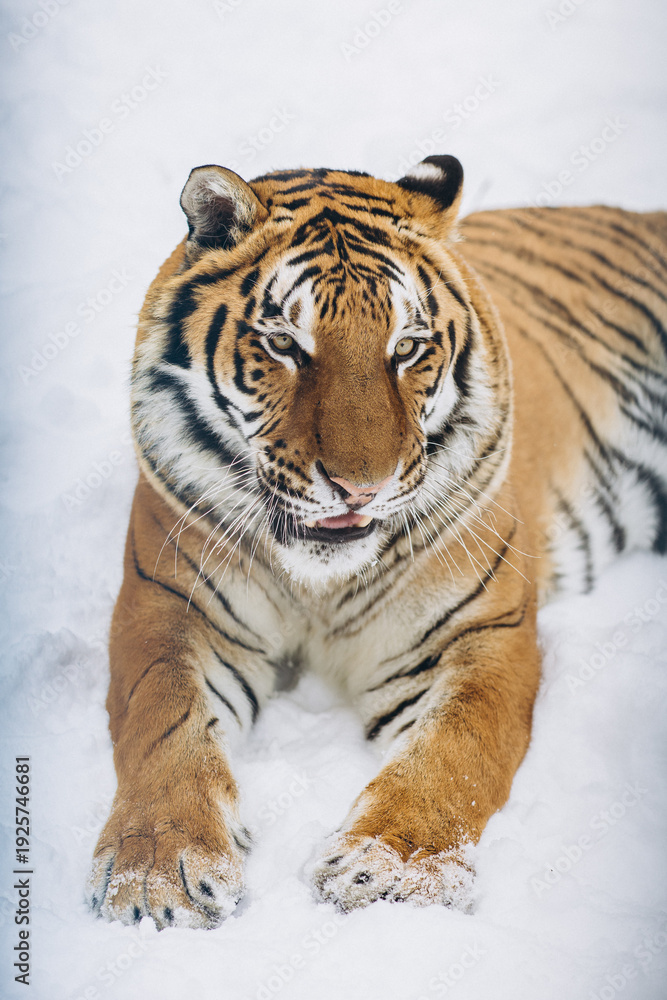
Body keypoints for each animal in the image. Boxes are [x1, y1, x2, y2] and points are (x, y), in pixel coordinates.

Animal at [86, 155, 667, 928]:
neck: (319, 586)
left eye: (407, 348)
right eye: (284, 344)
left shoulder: (479, 634)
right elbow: (163, 722)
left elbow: (454, 753)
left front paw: (390, 872)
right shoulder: (168, 607)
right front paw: (154, 873)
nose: (361, 488)